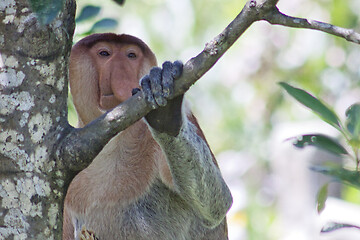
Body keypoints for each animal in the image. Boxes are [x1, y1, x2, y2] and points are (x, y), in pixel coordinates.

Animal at [64, 32, 233, 240]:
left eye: (131, 55)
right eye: (104, 53)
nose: (123, 78)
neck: (113, 138)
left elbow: (216, 204)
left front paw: (164, 110)